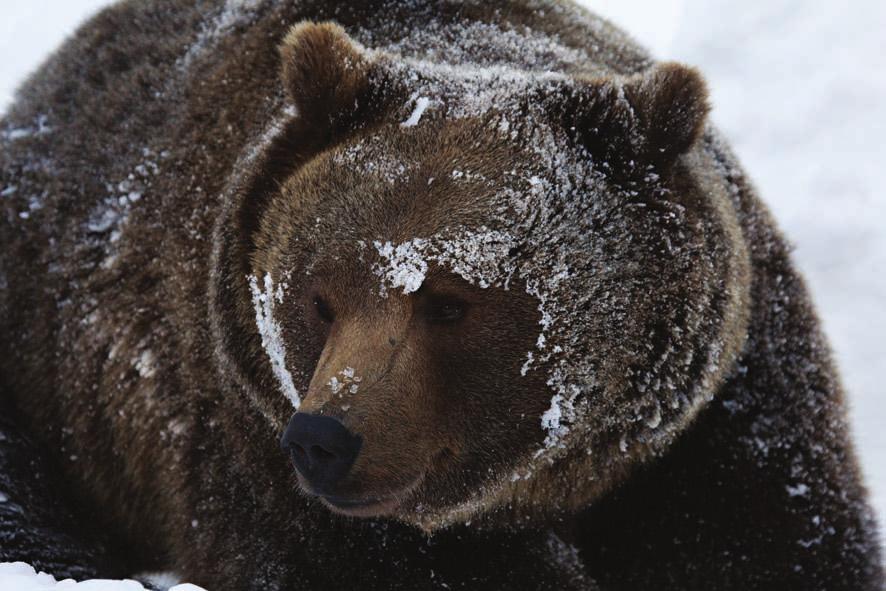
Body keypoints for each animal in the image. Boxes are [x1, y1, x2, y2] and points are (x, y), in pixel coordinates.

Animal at [0, 0, 884, 588]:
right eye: (318, 297)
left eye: (452, 301)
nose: (323, 437)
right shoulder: (244, 430)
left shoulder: (713, 415)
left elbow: (774, 540)